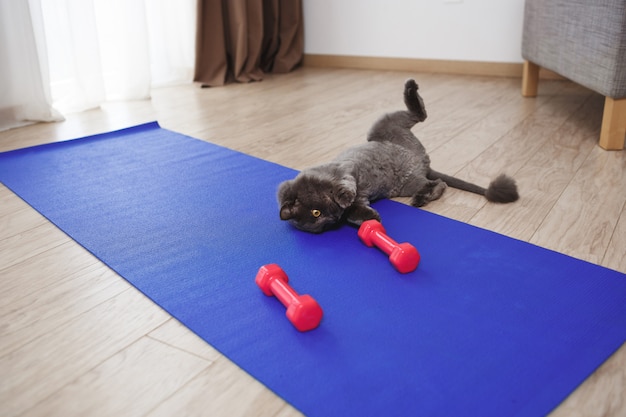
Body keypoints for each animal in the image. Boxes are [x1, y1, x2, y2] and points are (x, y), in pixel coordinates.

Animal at [276, 79, 516, 232]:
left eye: (316, 213)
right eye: (323, 221)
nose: (333, 217)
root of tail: (423, 162)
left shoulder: (344, 169)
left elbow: (344, 187)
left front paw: (344, 197)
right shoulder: (361, 199)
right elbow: (355, 211)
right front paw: (370, 217)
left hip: (384, 125)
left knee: (419, 113)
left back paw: (411, 87)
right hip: (407, 184)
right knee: (440, 184)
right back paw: (421, 198)